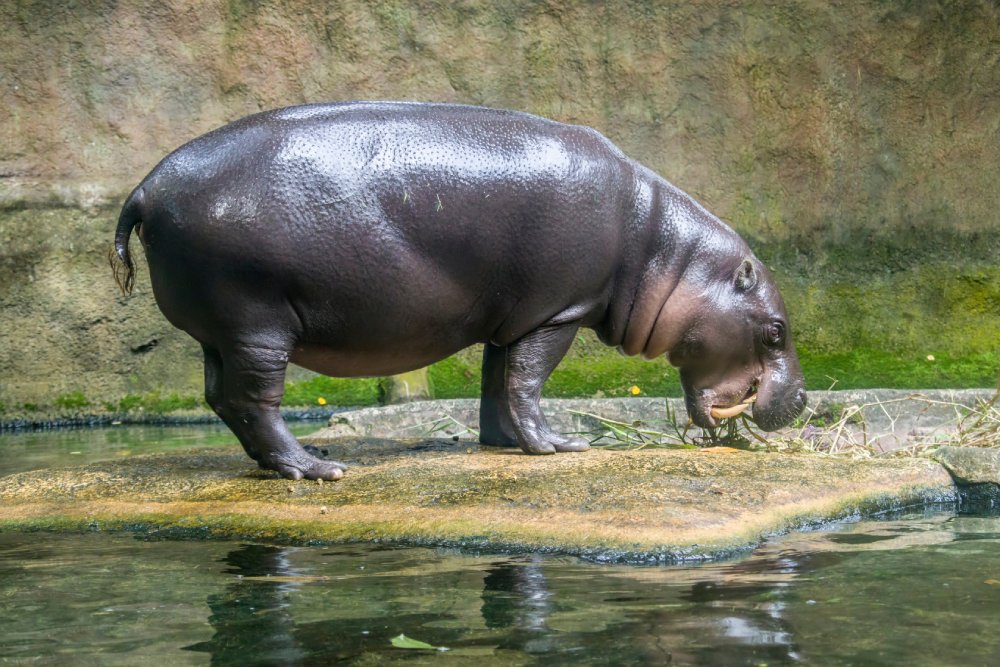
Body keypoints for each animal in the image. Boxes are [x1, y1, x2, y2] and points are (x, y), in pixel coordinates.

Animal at [111, 101, 806, 481]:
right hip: (256, 322)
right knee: (254, 399)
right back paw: (317, 469)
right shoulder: (557, 313)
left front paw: (502, 445)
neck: (665, 251)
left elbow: (497, 381)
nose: (803, 403)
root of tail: (146, 187)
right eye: (777, 330)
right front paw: (557, 447)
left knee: (220, 397)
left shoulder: (514, 316)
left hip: (221, 330)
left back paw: (283, 462)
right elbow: (528, 381)